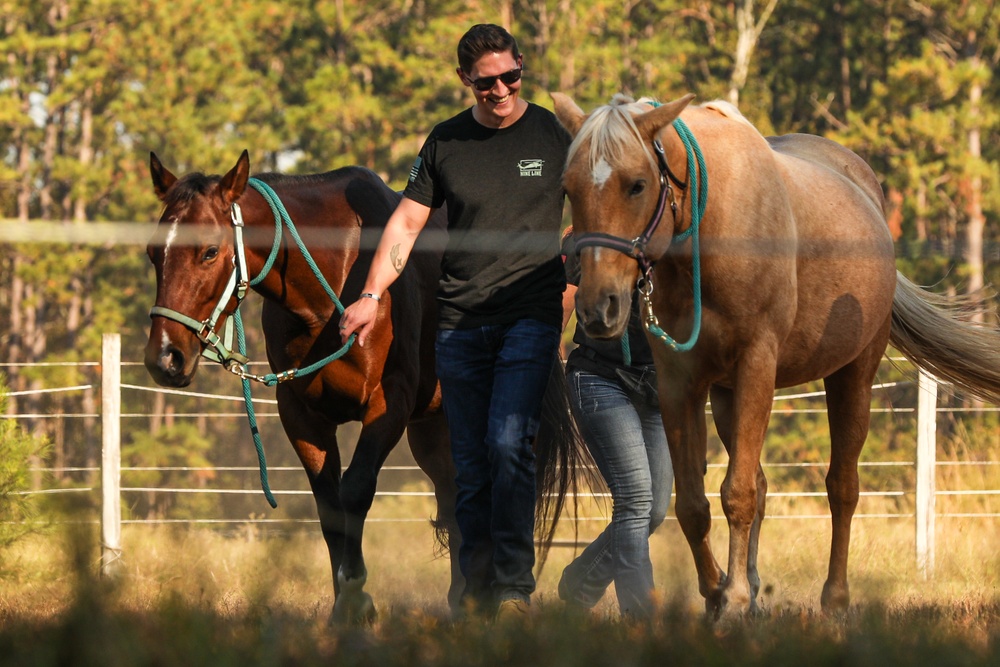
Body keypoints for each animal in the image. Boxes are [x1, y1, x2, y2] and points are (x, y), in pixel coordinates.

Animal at [141, 150, 580, 620]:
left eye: (209, 251)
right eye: (152, 252)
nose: (165, 356)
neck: (336, 281)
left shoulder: (388, 405)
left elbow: (354, 491)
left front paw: (356, 592)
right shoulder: (301, 414)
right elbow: (329, 504)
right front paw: (344, 608)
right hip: (436, 428)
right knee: (456, 494)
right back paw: (465, 596)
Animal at [552, 91, 1000, 620]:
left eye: (637, 185)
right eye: (569, 188)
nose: (597, 306)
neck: (712, 228)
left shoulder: (756, 368)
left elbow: (738, 493)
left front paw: (733, 599)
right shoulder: (681, 382)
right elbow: (693, 504)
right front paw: (717, 592)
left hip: (853, 375)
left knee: (841, 487)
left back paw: (834, 598)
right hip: (727, 396)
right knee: (764, 486)